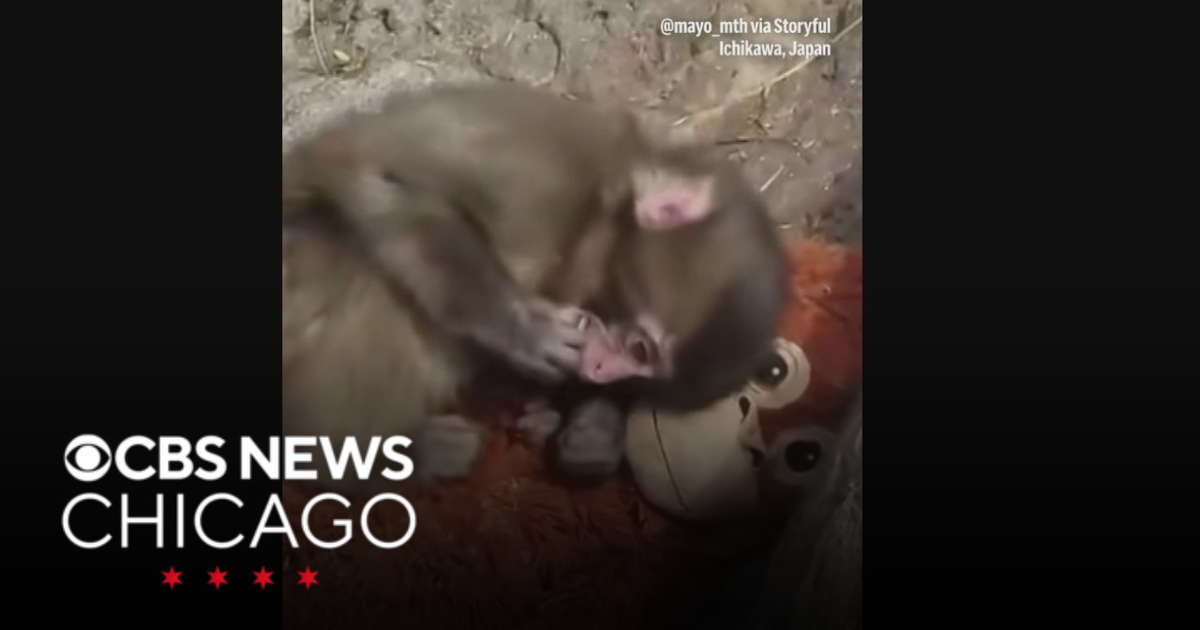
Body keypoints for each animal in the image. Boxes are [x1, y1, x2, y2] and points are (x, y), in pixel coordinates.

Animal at [281, 81, 790, 488]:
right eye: (640, 349)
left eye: (644, 375)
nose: (600, 372)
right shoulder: (541, 172)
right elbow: (384, 176)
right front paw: (522, 327)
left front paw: (594, 428)